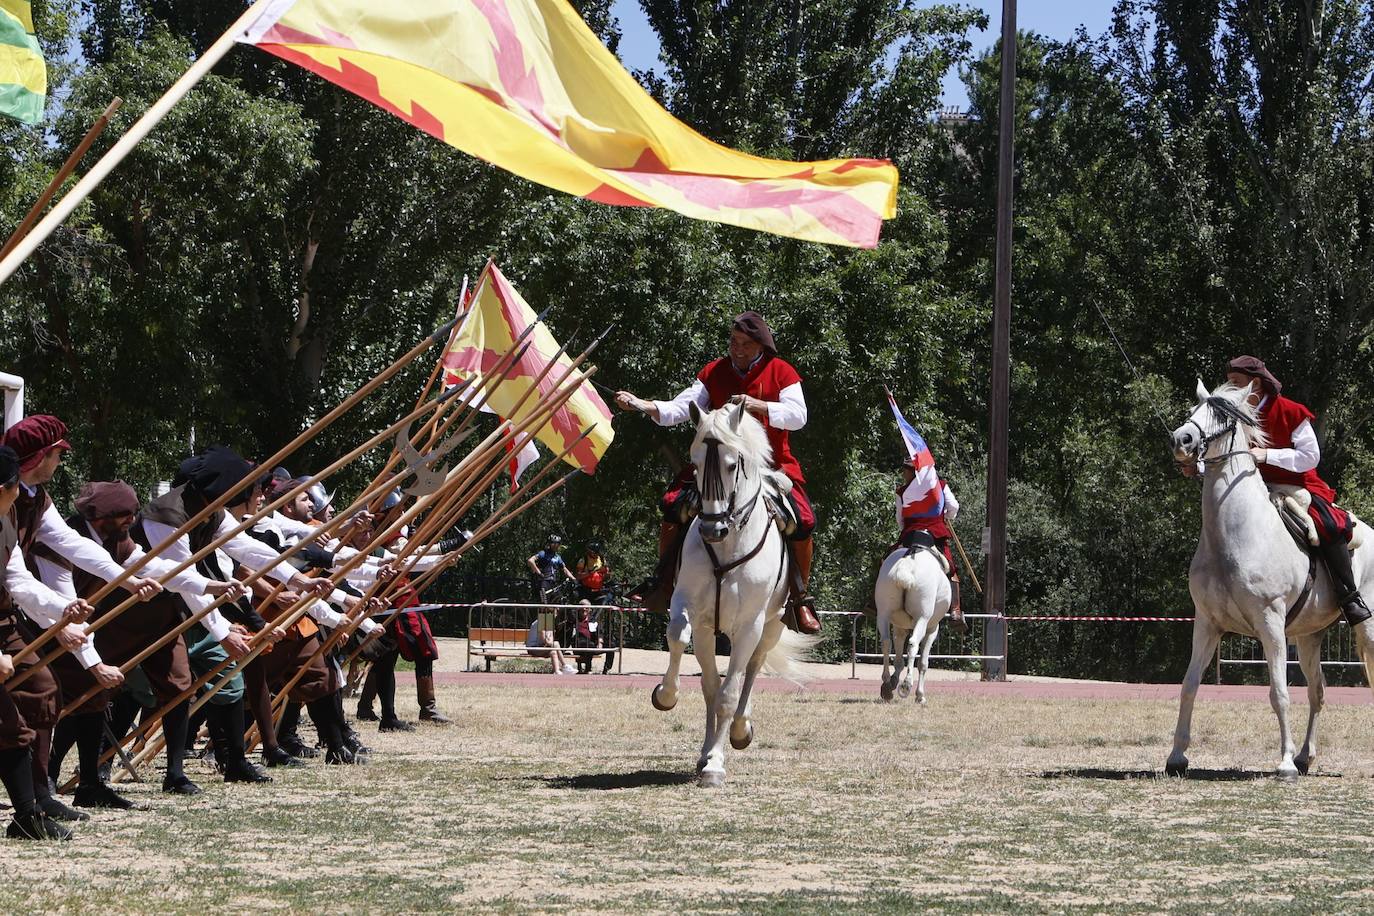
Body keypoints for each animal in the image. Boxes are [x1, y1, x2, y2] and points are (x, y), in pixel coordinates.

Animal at [645, 401, 807, 791]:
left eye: (733, 463)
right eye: (695, 462)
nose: (711, 528)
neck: (728, 544)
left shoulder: (749, 626)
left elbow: (729, 694)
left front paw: (716, 763)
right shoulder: (695, 615)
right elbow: (696, 667)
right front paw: (667, 696)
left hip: (771, 627)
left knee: (752, 670)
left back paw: (739, 729)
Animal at [873, 541, 950, 708]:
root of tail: (907, 564)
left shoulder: (899, 627)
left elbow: (899, 660)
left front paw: (892, 682)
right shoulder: (932, 629)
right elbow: (923, 663)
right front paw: (920, 695)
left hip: (883, 614)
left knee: (886, 642)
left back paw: (887, 683)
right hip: (923, 618)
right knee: (913, 644)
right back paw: (907, 684)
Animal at [1170, 384, 1374, 780]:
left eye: (1224, 416)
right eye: (1193, 411)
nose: (1181, 440)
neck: (1234, 535)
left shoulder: (1271, 623)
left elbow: (1279, 692)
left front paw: (1284, 764)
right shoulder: (1206, 624)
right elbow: (1189, 686)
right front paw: (1177, 757)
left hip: (1367, 630)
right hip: (1309, 637)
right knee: (1317, 692)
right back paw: (1306, 757)